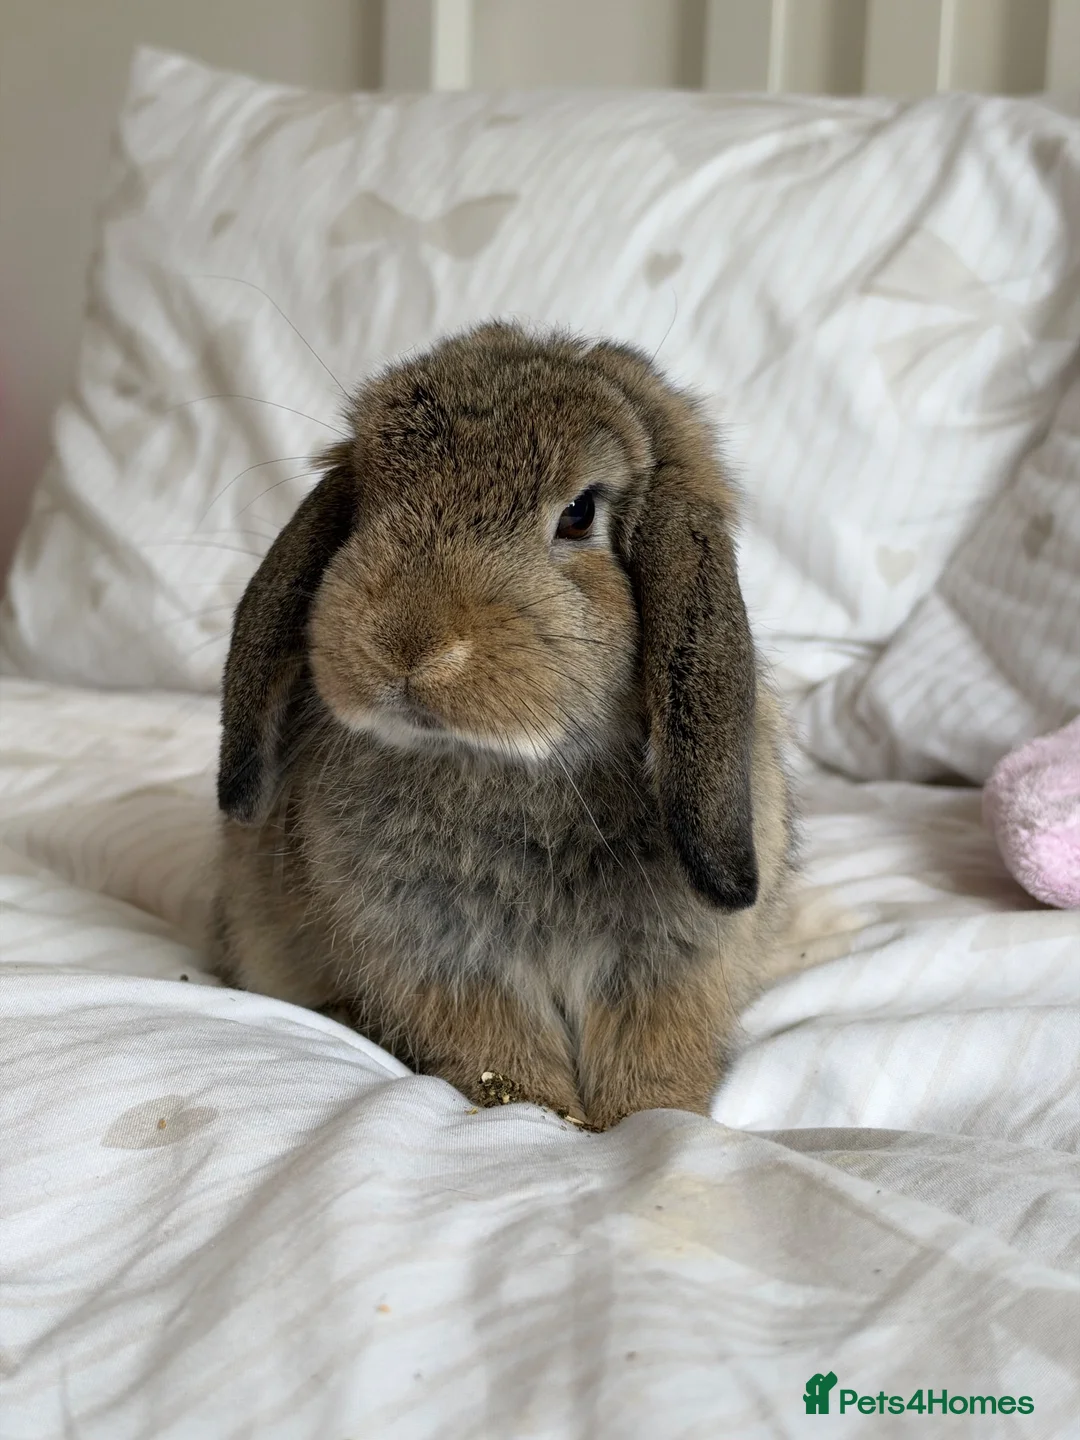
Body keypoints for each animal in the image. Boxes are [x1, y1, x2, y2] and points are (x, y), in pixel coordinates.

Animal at [210, 321, 795, 1130]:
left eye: (579, 513)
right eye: (367, 501)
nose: (405, 644)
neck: (513, 771)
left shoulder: (665, 967)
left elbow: (651, 1058)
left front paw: (654, 1119)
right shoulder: (445, 961)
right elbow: (501, 1052)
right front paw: (540, 1115)